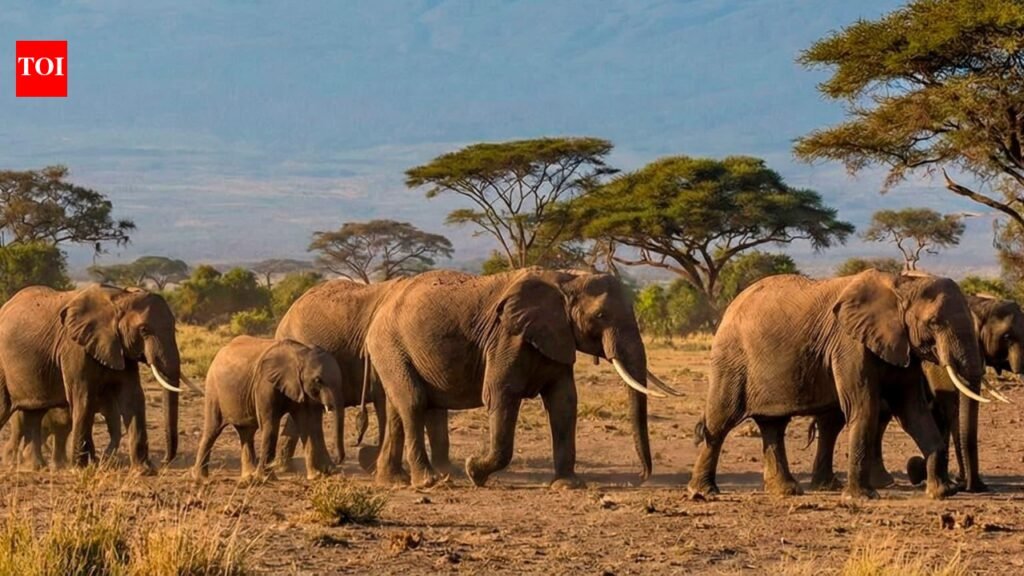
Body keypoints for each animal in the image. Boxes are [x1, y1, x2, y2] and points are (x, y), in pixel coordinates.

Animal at [0, 285, 196, 472]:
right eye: (144, 330)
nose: (164, 461)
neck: (121, 297)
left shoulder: (119, 347)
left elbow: (132, 397)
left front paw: (144, 471)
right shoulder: (74, 348)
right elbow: (84, 398)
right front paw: (79, 468)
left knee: (34, 413)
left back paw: (34, 467)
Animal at [192, 336, 342, 481]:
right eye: (318, 380)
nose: (337, 462)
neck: (300, 352)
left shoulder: (299, 388)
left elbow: (306, 426)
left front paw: (315, 476)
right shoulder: (265, 384)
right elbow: (270, 426)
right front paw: (266, 478)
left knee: (247, 432)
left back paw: (248, 476)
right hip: (213, 390)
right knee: (213, 430)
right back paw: (201, 477)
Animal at [364, 268, 671, 489]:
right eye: (600, 315)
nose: (641, 477)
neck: (566, 279)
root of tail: (381, 307)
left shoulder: (557, 338)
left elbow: (564, 402)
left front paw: (567, 485)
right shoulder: (507, 338)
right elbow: (501, 394)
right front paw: (474, 471)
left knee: (398, 408)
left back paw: (392, 481)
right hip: (389, 345)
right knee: (413, 403)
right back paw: (428, 482)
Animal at [688, 270, 985, 501]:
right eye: (934, 323)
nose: (961, 486)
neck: (902, 285)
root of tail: (730, 307)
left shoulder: (902, 346)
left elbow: (914, 412)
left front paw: (941, 493)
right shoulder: (848, 345)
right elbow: (864, 408)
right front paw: (862, 498)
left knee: (774, 425)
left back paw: (786, 491)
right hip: (732, 359)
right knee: (721, 420)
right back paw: (703, 493)